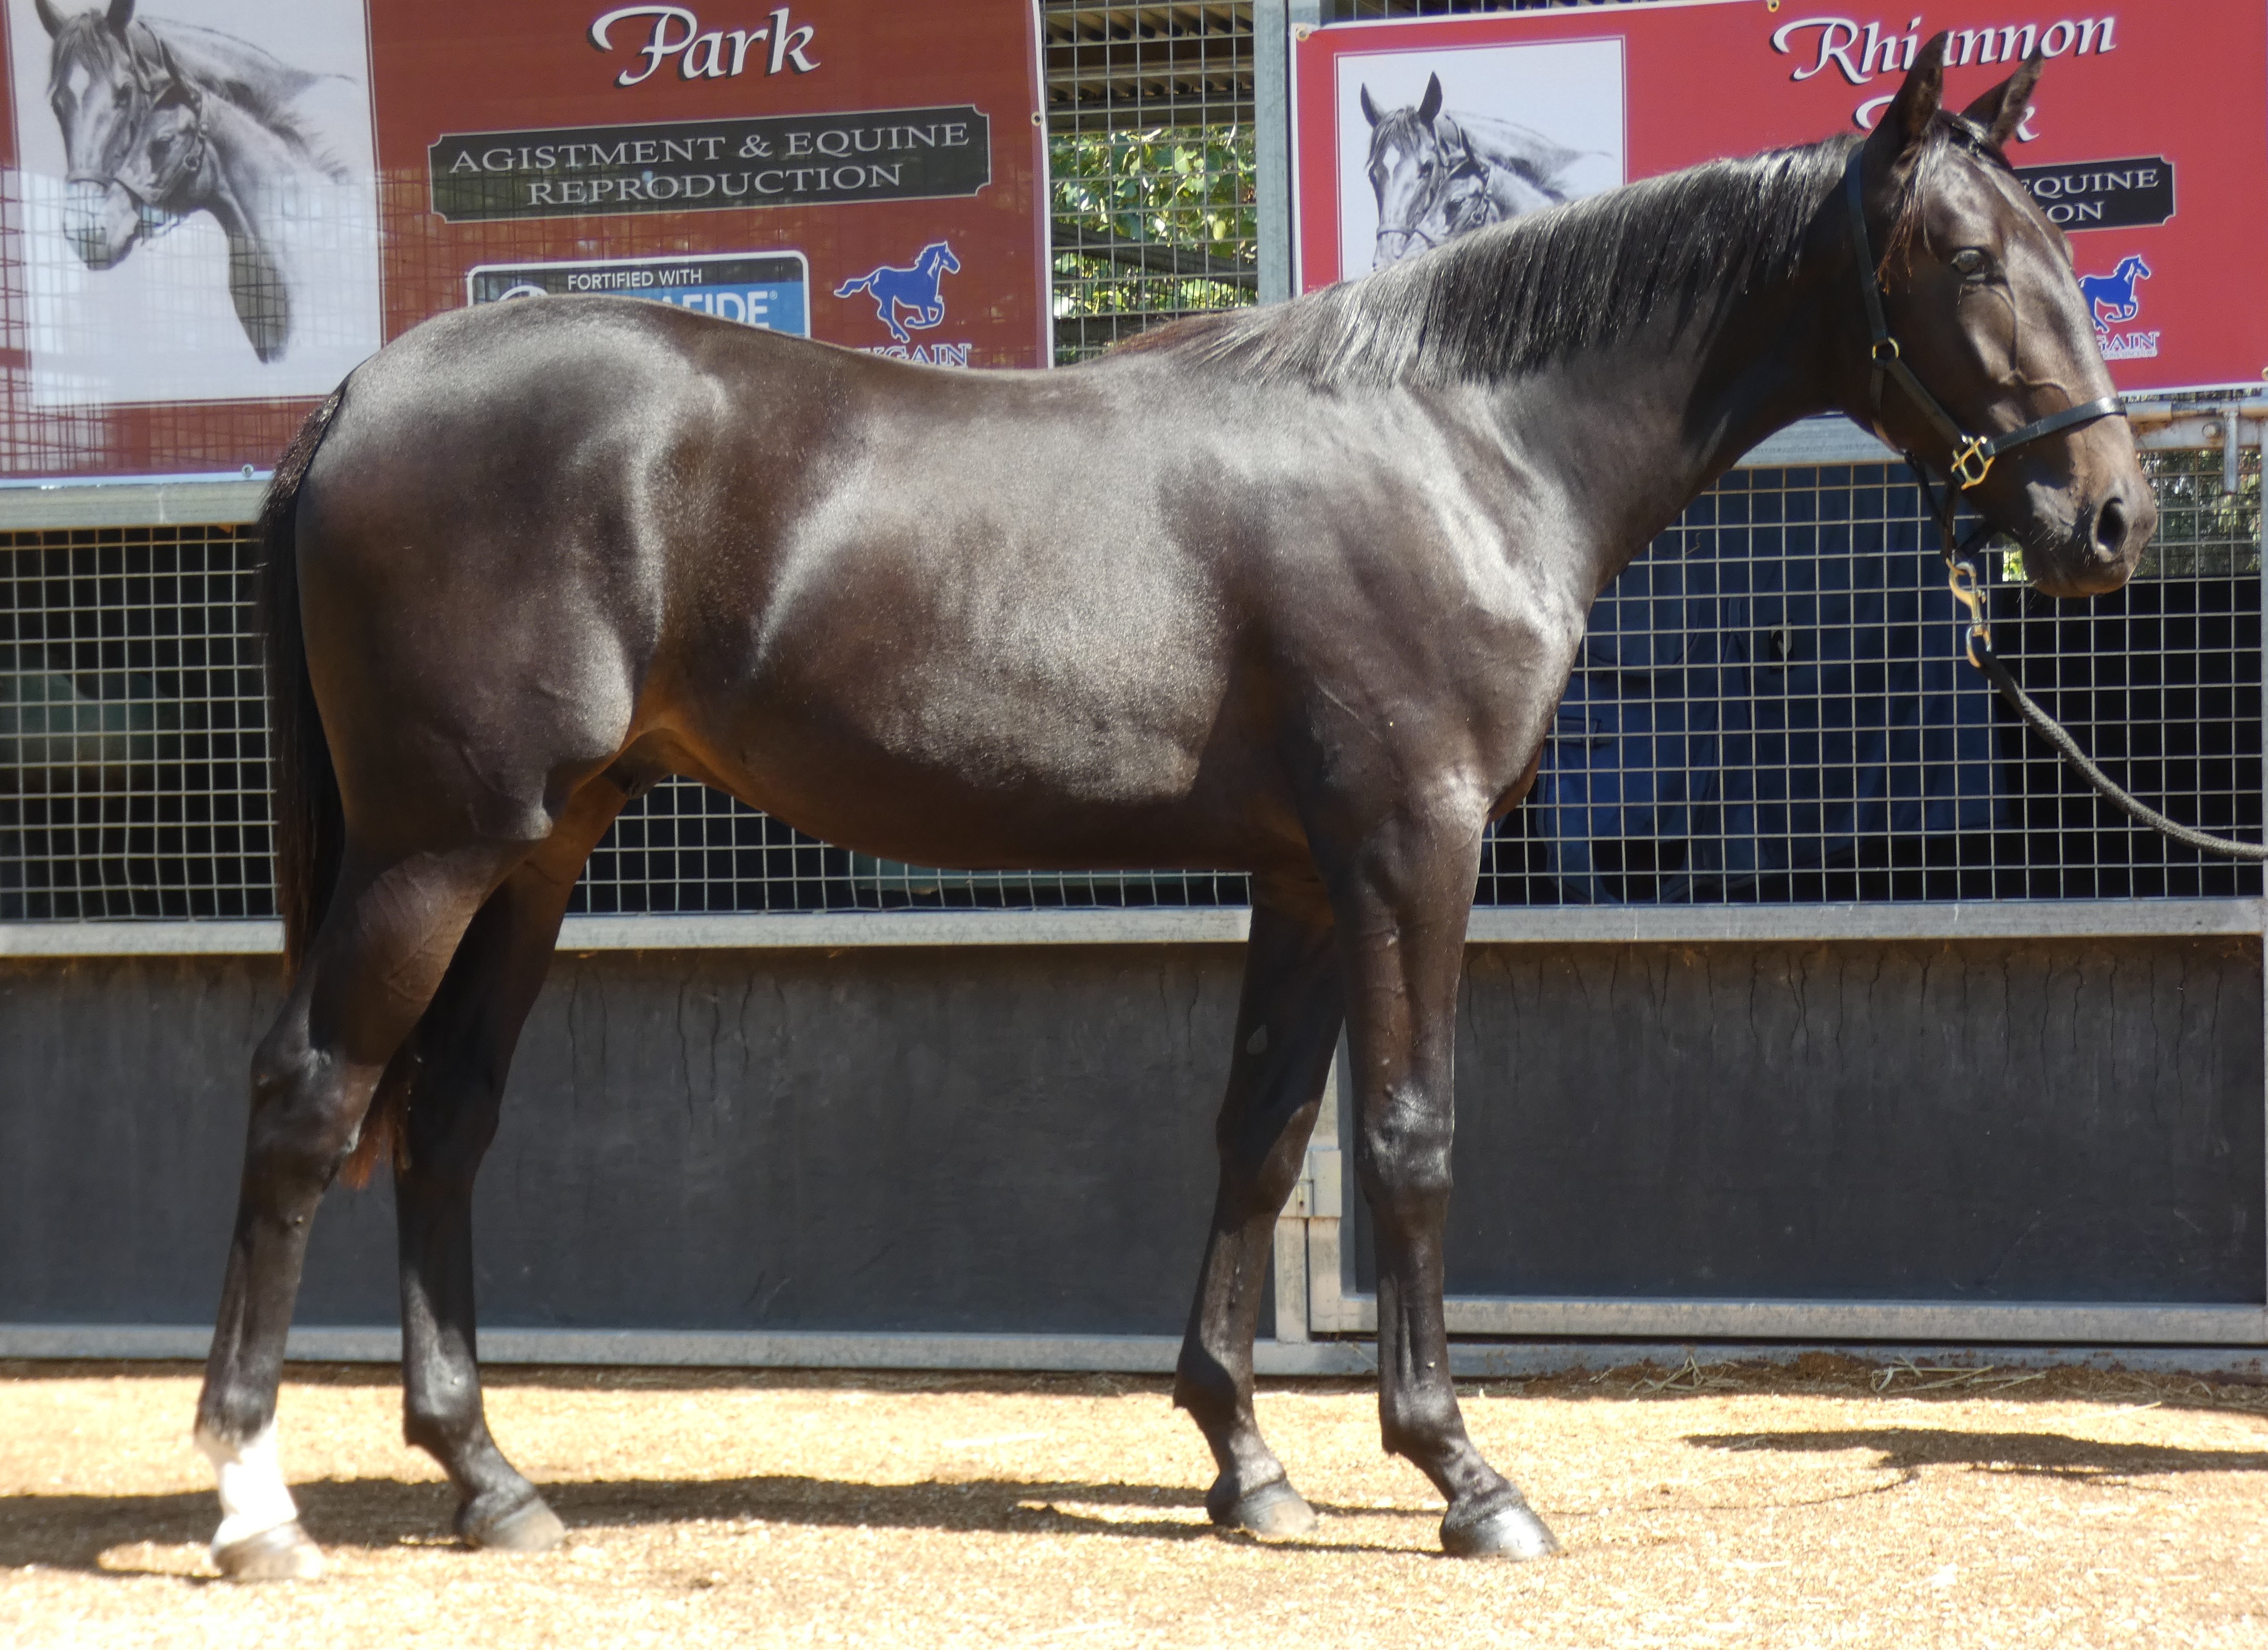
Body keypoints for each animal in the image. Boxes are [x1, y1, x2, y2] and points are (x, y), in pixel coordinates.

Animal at [832, 242, 961, 343]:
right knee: (887, 314)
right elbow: (934, 313)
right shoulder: (923, 303)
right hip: (888, 297)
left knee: (882, 313)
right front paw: (914, 322)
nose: (957, 266)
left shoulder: (926, 302)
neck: (928, 276)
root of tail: (874, 275)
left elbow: (938, 308)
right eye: (948, 254)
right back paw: (903, 335)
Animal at [2078, 254, 2151, 333]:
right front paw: (2113, 317)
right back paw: (2103, 327)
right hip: (2091, 299)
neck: (2125, 281)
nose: (2148, 273)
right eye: (2140, 264)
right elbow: (2133, 307)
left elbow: (2129, 309)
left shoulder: (2122, 303)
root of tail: (2083, 280)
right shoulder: (2121, 302)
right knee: (2093, 314)